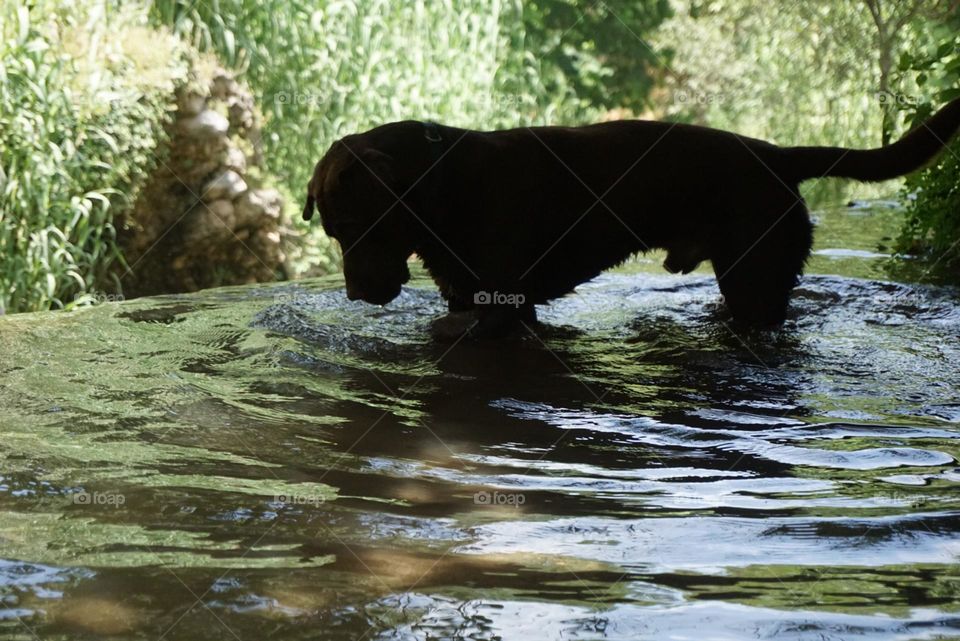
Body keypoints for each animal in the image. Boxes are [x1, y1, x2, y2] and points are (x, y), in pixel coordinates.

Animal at [306, 97, 960, 338]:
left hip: (753, 278)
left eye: (363, 227)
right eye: (333, 233)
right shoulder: (470, 300)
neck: (441, 188)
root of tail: (776, 154)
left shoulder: (503, 308)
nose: (356, 293)